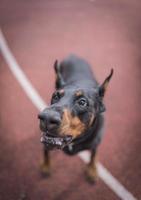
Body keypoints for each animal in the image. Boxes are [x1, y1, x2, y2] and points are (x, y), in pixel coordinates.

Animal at [38, 54, 113, 183]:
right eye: (55, 96)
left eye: (82, 102)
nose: (46, 118)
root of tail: (72, 55)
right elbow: (46, 151)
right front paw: (46, 165)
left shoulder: (95, 142)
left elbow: (93, 154)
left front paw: (92, 169)